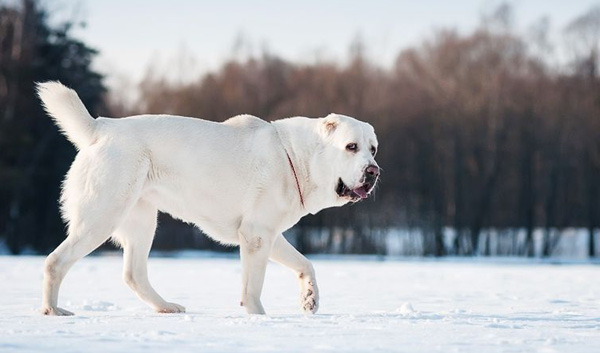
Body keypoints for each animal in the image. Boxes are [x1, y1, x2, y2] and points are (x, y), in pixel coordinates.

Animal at [36, 81, 380, 314]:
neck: (296, 158)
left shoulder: (265, 233)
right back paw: (53, 310)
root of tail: (100, 127)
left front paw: (310, 298)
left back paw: (165, 306)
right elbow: (252, 287)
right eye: (351, 147)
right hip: (102, 215)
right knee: (55, 262)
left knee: (134, 274)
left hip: (141, 220)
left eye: (373, 149)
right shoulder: (256, 236)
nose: (374, 171)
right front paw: (259, 316)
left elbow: (305, 264)